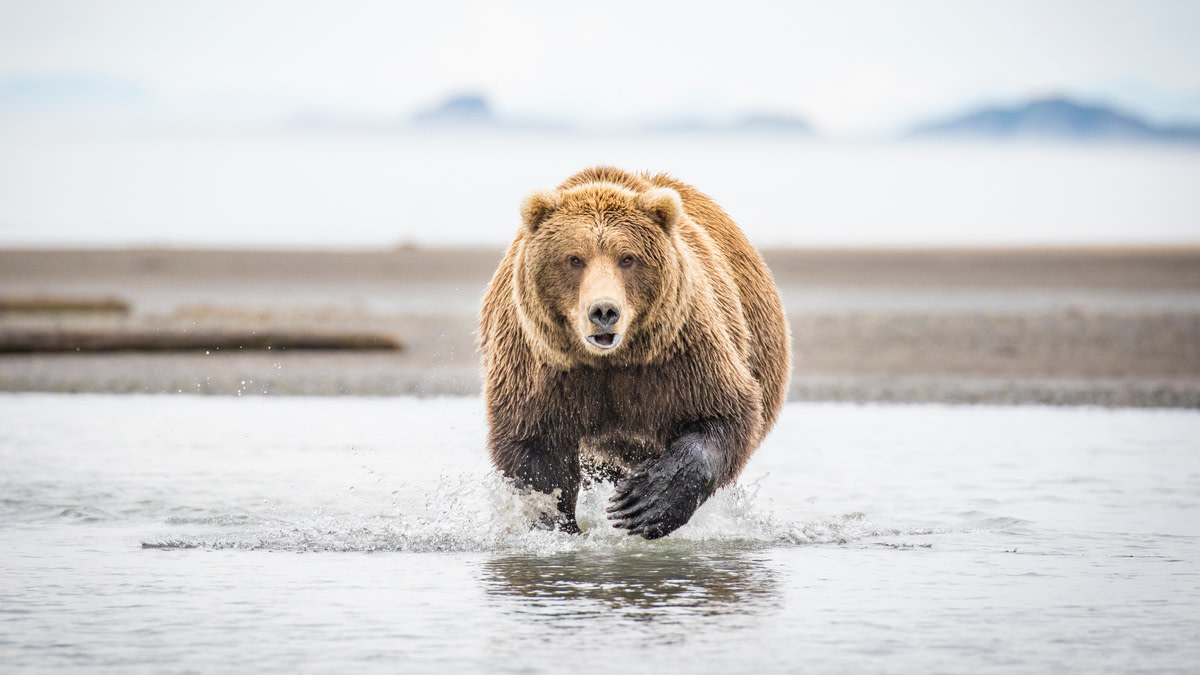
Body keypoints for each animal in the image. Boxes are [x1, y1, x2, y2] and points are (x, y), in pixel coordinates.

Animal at [480, 166, 790, 539]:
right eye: (574, 258)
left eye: (627, 258)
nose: (603, 311)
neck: (610, 361)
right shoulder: (540, 367)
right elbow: (535, 452)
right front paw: (557, 525)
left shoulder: (680, 353)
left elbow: (723, 412)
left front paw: (645, 503)